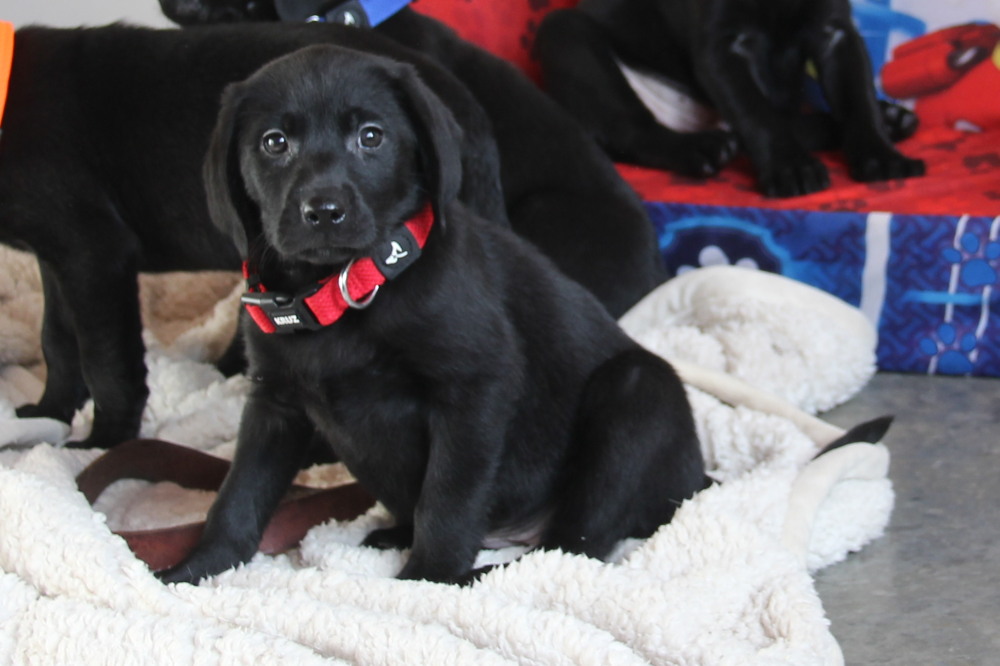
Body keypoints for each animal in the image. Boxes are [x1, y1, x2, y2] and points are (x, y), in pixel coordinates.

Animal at [1, 22, 508, 446]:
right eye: (275, 143)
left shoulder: (95, 252)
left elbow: (105, 360)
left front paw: (104, 442)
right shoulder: (58, 257)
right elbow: (57, 339)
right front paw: (49, 412)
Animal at [156, 46, 704, 584]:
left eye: (371, 136)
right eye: (274, 143)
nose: (324, 211)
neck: (346, 289)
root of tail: (699, 479)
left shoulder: (474, 391)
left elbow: (447, 499)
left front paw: (427, 578)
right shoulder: (274, 404)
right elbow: (238, 495)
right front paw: (195, 568)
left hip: (640, 396)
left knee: (573, 545)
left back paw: (478, 574)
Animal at [540, 0, 928, 196]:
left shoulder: (836, 33)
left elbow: (858, 100)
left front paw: (882, 156)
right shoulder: (723, 46)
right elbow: (756, 112)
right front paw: (791, 166)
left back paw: (892, 120)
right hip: (563, 33)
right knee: (633, 131)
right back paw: (699, 149)